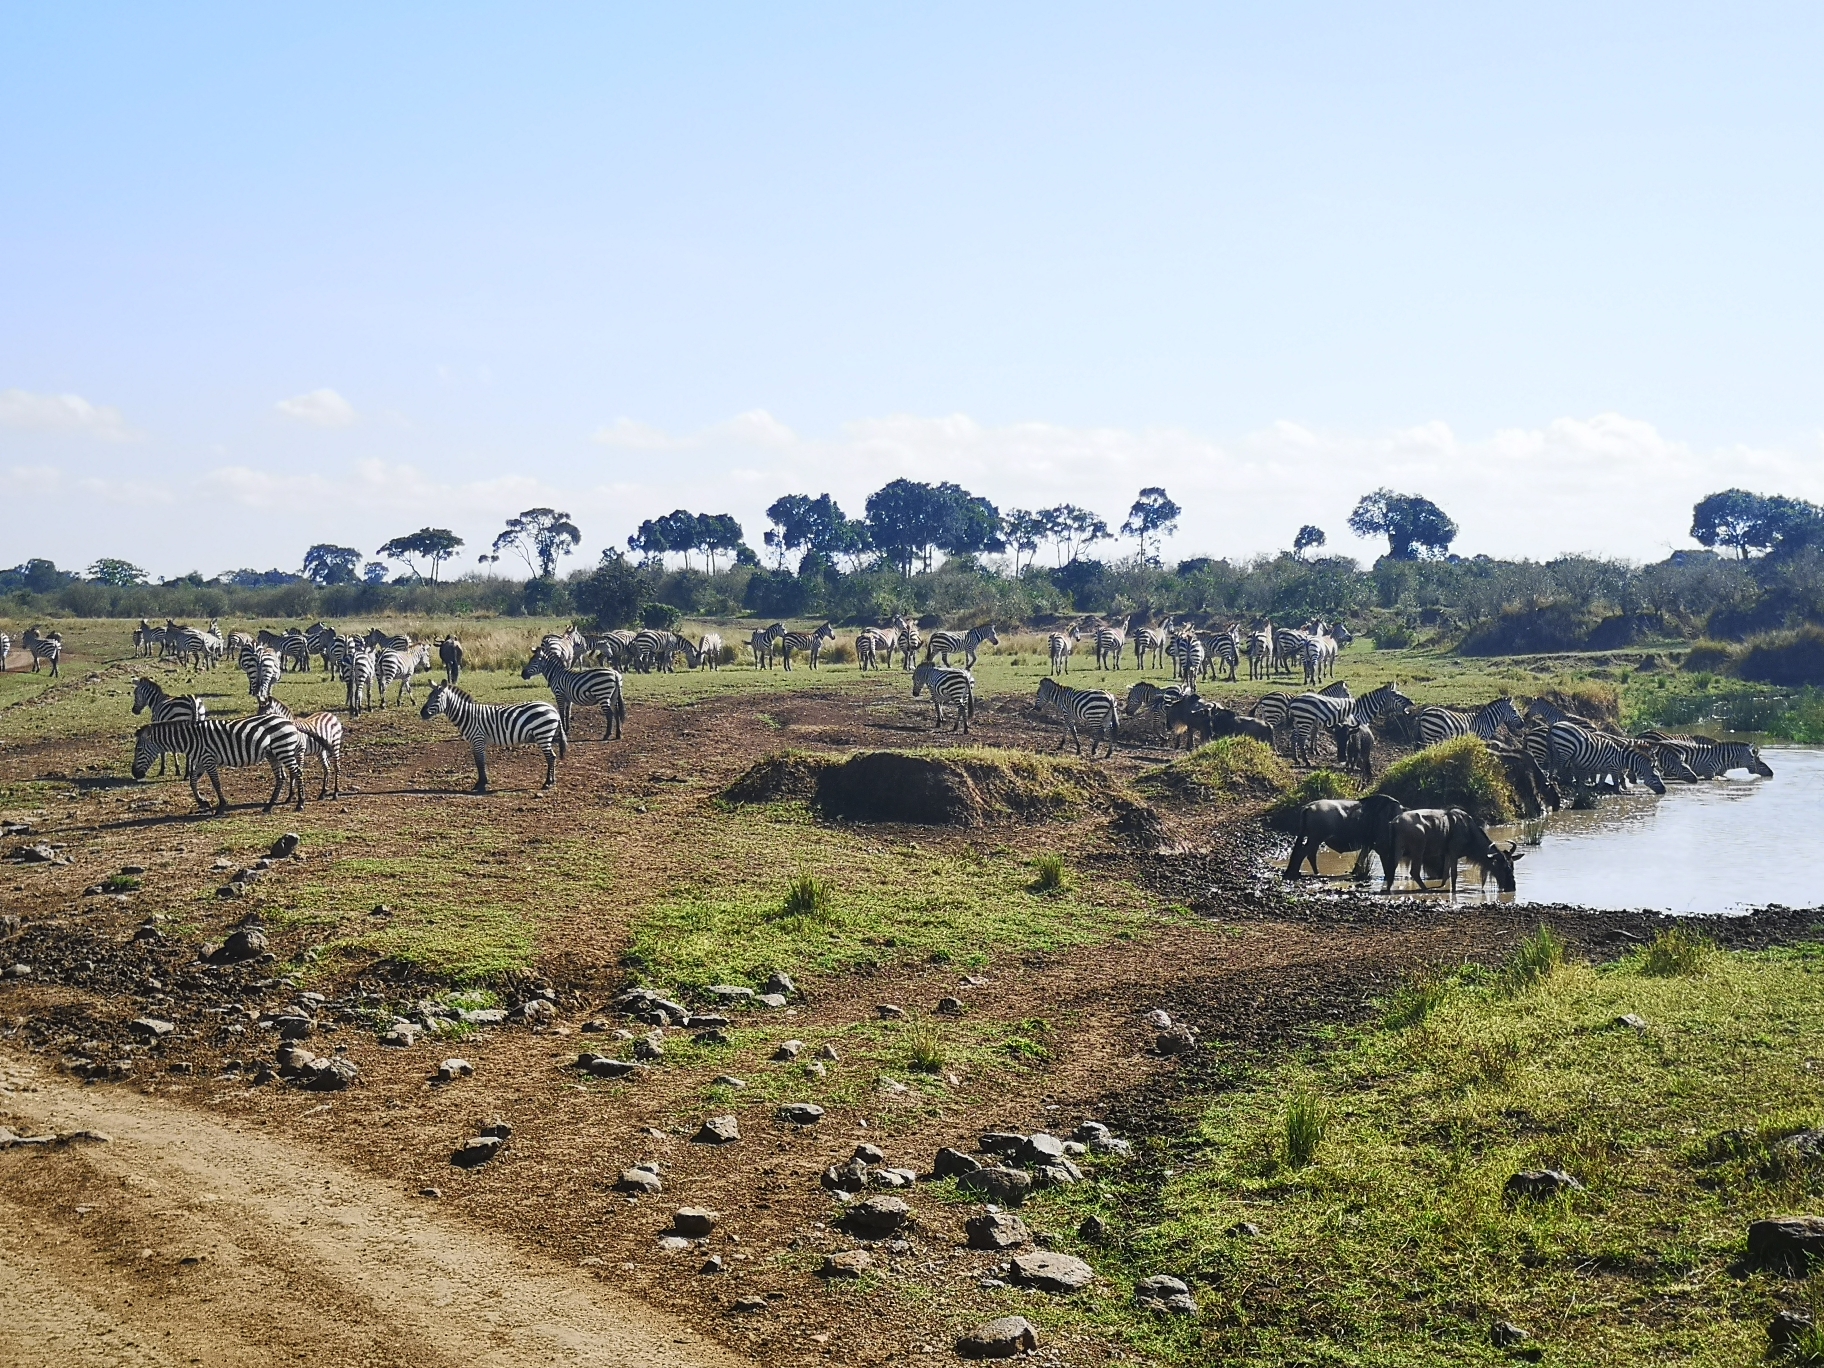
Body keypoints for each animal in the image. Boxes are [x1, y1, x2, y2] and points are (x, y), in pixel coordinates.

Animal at [132, 711, 302, 820]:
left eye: (139, 749)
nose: (135, 774)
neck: (190, 740)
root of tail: (288, 721)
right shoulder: (201, 761)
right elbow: (192, 781)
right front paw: (203, 802)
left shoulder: (208, 759)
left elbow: (216, 783)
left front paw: (221, 807)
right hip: (273, 754)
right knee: (281, 777)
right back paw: (269, 806)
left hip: (283, 749)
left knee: (298, 772)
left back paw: (300, 804)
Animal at [417, 682, 565, 791]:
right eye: (428, 696)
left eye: (437, 698)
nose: (422, 713)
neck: (467, 715)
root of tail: (553, 709)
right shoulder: (474, 742)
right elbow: (478, 762)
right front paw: (480, 783)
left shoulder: (478, 739)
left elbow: (480, 762)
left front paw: (482, 784)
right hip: (544, 735)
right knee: (552, 757)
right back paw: (551, 782)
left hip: (543, 734)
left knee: (551, 757)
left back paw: (548, 783)